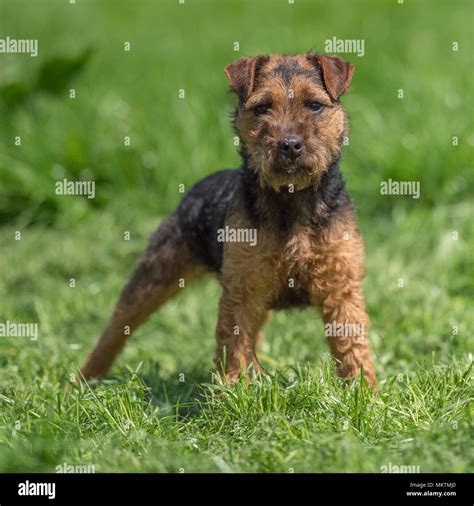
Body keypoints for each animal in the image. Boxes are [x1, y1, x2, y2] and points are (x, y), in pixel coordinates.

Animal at [80, 51, 378, 390]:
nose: (289, 145)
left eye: (314, 105)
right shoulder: (242, 289)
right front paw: (233, 391)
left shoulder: (341, 285)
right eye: (262, 107)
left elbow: (352, 344)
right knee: (117, 326)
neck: (290, 200)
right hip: (156, 272)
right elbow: (233, 344)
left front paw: (363, 392)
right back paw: (83, 380)